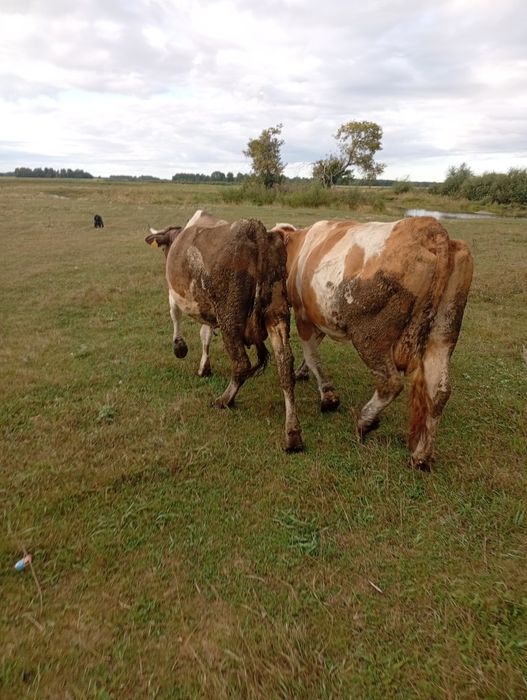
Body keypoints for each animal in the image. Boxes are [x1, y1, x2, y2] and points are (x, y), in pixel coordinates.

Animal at [145, 210, 303, 452]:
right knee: (285, 364)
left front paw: (180, 348)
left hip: (230, 318)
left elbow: (177, 317)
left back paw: (224, 399)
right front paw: (204, 366)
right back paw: (292, 433)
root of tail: (253, 228)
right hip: (276, 313)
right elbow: (206, 335)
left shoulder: (176, 295)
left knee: (241, 364)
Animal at [270, 217, 473, 470]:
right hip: (443, 332)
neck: (299, 246)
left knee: (390, 383)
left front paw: (328, 396)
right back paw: (421, 456)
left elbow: (312, 355)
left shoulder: (304, 315)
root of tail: (427, 228)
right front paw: (302, 373)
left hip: (370, 337)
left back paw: (365, 421)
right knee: (439, 390)